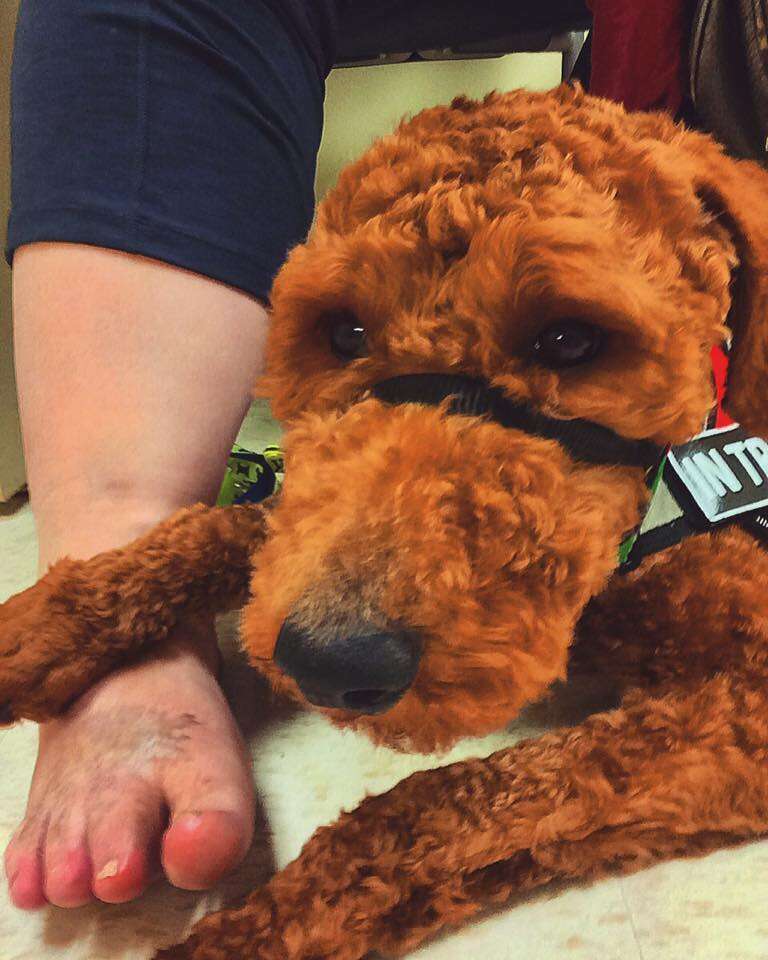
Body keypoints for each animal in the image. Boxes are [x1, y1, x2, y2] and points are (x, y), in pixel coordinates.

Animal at [1, 84, 768, 960]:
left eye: (572, 339)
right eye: (344, 332)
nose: (329, 659)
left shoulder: (745, 706)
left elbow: (433, 809)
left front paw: (243, 937)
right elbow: (237, 525)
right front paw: (41, 625)